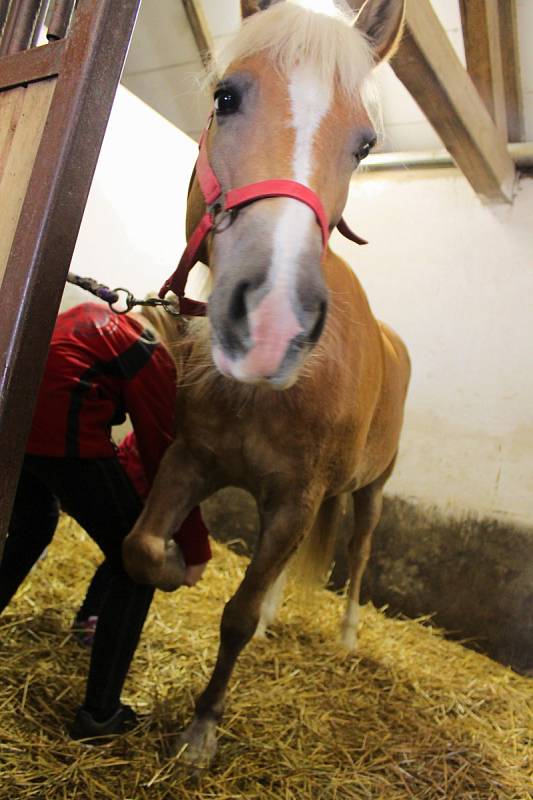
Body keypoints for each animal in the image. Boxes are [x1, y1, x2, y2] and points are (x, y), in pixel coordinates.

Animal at [122, 0, 410, 764]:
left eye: (365, 145)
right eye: (226, 97)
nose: (273, 324)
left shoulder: (293, 502)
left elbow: (239, 616)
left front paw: (201, 728)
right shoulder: (190, 459)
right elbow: (140, 548)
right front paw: (175, 569)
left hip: (370, 491)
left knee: (358, 553)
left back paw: (346, 636)